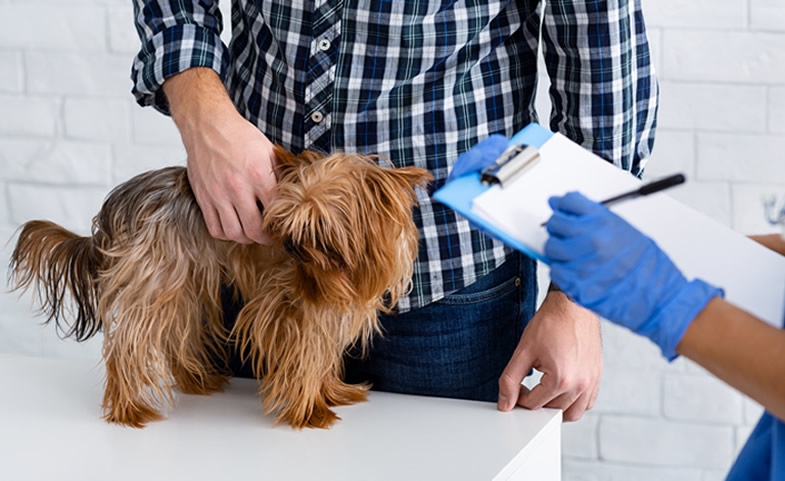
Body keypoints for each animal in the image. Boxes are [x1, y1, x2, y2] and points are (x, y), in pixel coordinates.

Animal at [9, 148, 432, 430]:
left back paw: (197, 382)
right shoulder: (289, 307)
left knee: (174, 336)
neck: (344, 273)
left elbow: (323, 353)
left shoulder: (326, 308)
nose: (291, 248)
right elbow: (304, 355)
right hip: (155, 278)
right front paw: (311, 411)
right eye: (283, 224)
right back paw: (130, 410)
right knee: (129, 345)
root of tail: (118, 204)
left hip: (183, 282)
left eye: (318, 228)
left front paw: (331, 392)